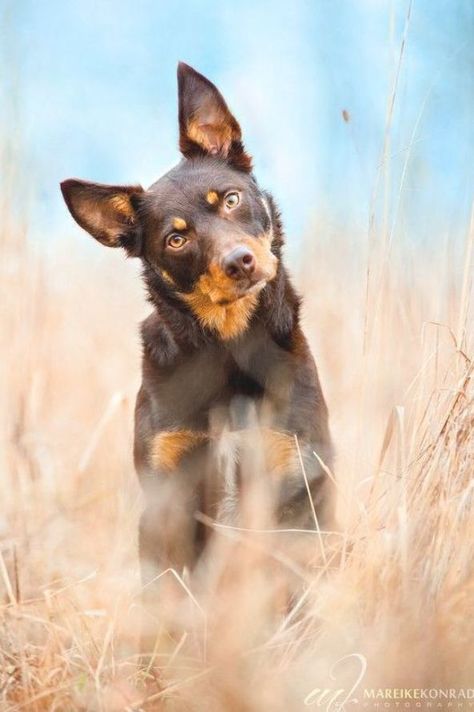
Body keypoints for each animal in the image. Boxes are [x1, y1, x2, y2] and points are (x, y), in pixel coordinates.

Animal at [60, 65, 334, 652]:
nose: (240, 261)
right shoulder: (168, 496)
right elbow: (166, 606)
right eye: (176, 239)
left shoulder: (295, 480)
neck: (227, 354)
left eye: (229, 200)